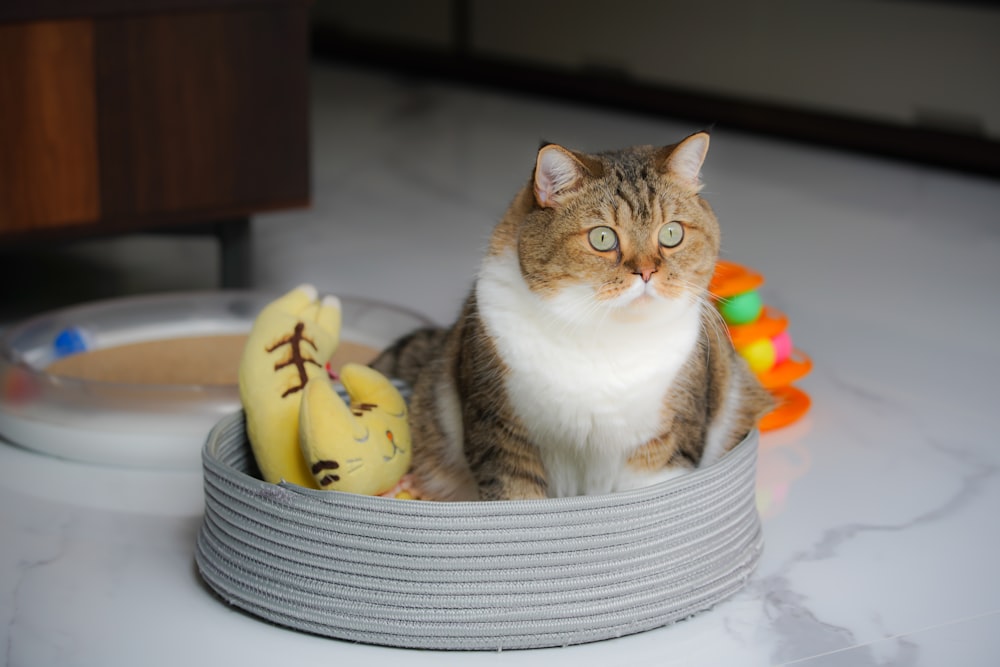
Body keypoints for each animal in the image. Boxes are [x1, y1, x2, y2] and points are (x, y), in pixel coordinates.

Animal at [372, 132, 768, 500]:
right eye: (603, 238)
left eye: (672, 233)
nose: (646, 272)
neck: (605, 336)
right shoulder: (502, 437)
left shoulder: (663, 448)